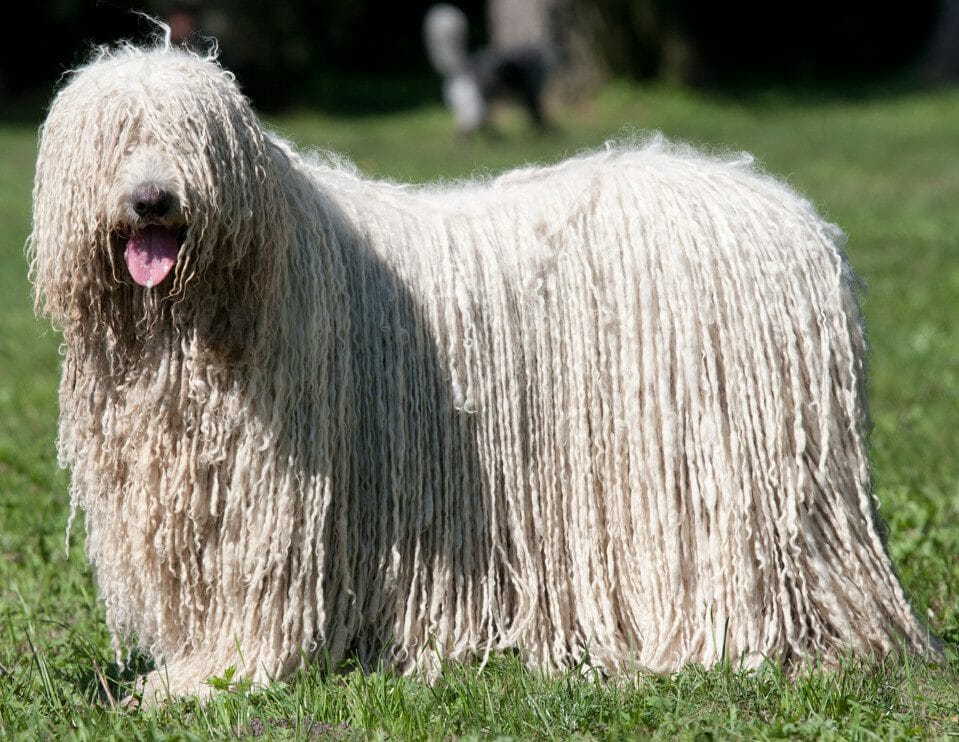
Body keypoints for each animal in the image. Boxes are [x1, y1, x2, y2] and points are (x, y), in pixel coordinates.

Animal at [26, 37, 932, 708]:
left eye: (192, 136)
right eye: (114, 134)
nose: (153, 199)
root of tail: (801, 224)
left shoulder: (272, 499)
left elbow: (257, 593)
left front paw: (209, 678)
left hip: (729, 473)